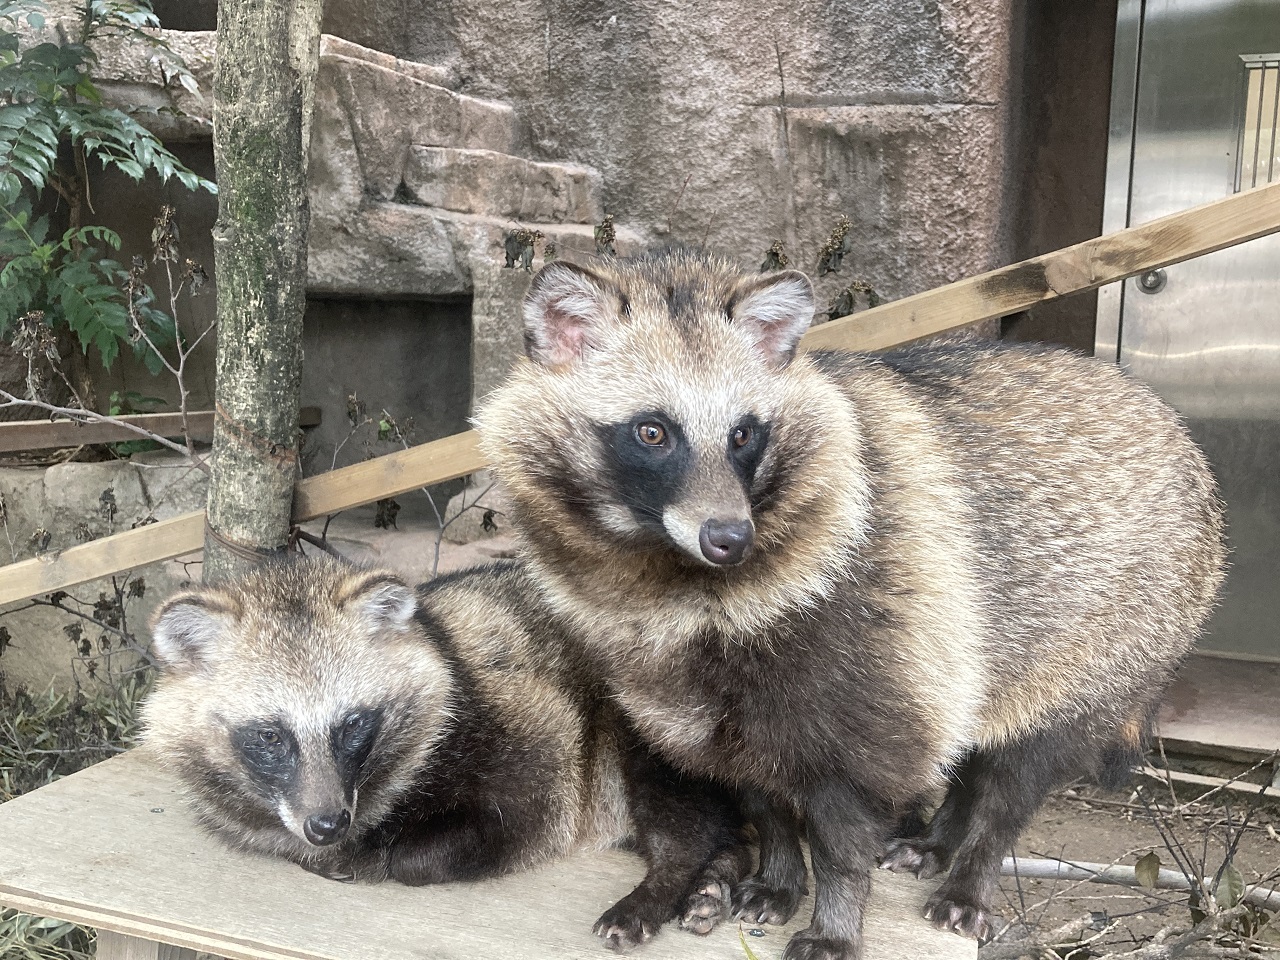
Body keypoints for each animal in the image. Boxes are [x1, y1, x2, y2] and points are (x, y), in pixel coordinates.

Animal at [142, 552, 747, 952]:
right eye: (271, 736)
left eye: (351, 724)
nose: (328, 824)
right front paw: (335, 848)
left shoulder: (529, 722)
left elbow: (529, 804)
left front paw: (390, 853)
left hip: (665, 707)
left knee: (676, 806)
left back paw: (671, 875)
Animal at [481, 249, 1228, 960]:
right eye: (652, 432)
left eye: (743, 435)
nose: (729, 537)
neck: (674, 574)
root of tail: (1165, 416)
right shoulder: (702, 697)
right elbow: (760, 790)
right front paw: (781, 873)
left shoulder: (869, 634)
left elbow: (846, 817)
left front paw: (836, 916)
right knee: (967, 727)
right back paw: (940, 839)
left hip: (1113, 634)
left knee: (1018, 772)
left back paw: (973, 868)